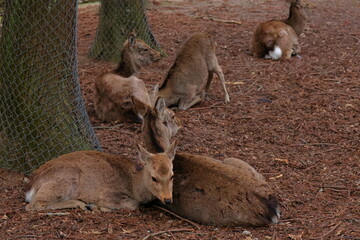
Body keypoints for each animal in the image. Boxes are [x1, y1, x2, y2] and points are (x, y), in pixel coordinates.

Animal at [25, 142, 177, 212]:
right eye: (154, 178)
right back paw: (80, 203)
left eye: (172, 175)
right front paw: (97, 206)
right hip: (65, 179)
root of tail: (31, 182)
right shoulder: (105, 194)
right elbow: (133, 204)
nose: (168, 199)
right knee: (34, 204)